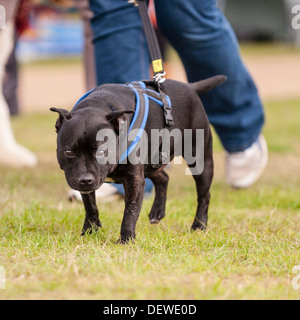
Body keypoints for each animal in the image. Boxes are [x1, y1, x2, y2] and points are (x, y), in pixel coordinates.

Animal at [51, 77, 225, 242]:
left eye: (101, 151)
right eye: (68, 152)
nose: (85, 179)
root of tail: (190, 87)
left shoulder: (134, 180)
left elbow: (130, 211)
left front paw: (126, 239)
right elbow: (90, 205)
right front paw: (89, 231)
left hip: (201, 163)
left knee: (204, 196)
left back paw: (199, 225)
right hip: (152, 161)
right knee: (163, 178)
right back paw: (157, 211)